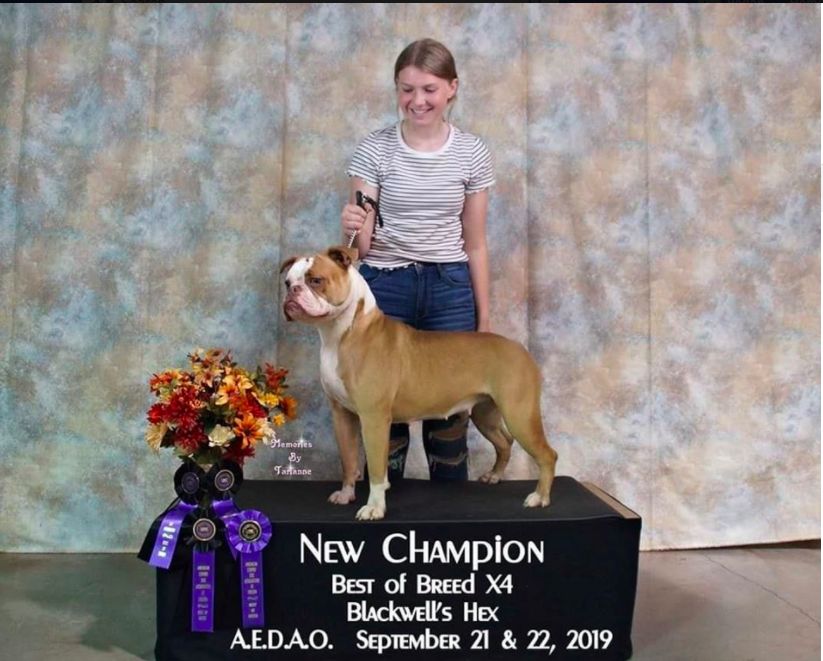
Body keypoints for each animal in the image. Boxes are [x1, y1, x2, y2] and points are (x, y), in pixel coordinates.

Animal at [280, 246, 558, 520]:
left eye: (316, 280)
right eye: (288, 282)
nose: (292, 292)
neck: (341, 333)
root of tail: (520, 349)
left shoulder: (373, 418)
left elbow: (377, 469)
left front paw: (374, 507)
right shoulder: (342, 415)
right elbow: (347, 460)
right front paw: (346, 494)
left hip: (519, 414)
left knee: (547, 454)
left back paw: (539, 497)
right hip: (486, 414)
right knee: (504, 442)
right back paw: (495, 476)